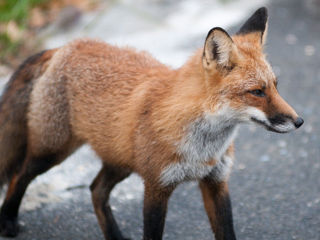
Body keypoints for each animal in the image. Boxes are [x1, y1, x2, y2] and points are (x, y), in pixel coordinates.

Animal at [0, 7, 302, 240]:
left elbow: (227, 232)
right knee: (19, 175)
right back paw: (8, 220)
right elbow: (152, 232)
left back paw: (115, 236)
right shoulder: (156, 186)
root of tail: (64, 46)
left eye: (275, 86)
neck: (202, 147)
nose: (299, 121)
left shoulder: (216, 182)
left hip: (120, 161)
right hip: (52, 151)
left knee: (95, 190)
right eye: (257, 92)